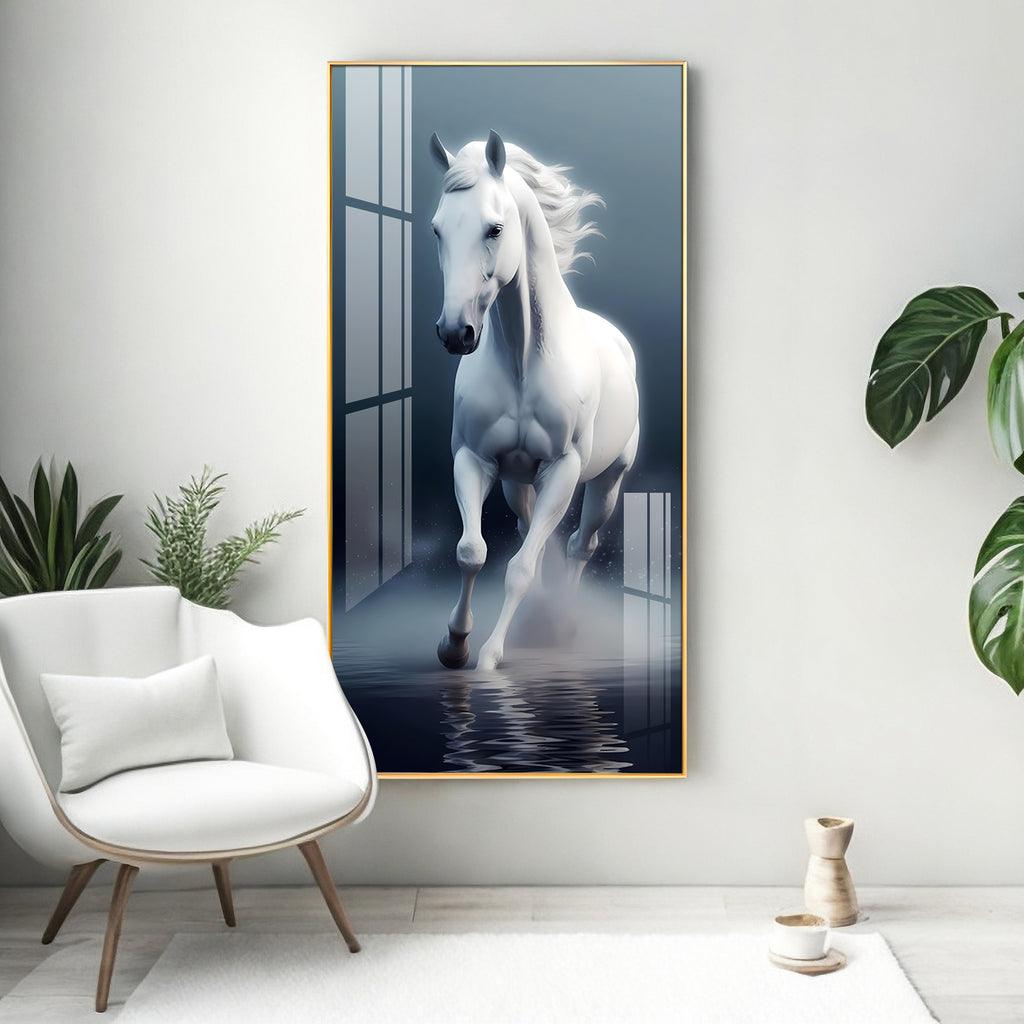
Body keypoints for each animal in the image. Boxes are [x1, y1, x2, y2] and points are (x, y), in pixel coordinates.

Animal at [430, 129, 640, 672]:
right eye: (438, 230)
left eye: (494, 229)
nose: (456, 333)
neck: (526, 361)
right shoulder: (474, 460)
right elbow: (472, 551)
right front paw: (454, 645)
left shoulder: (563, 470)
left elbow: (520, 569)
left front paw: (489, 658)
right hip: (517, 484)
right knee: (533, 537)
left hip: (606, 481)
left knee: (580, 545)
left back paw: (561, 625)